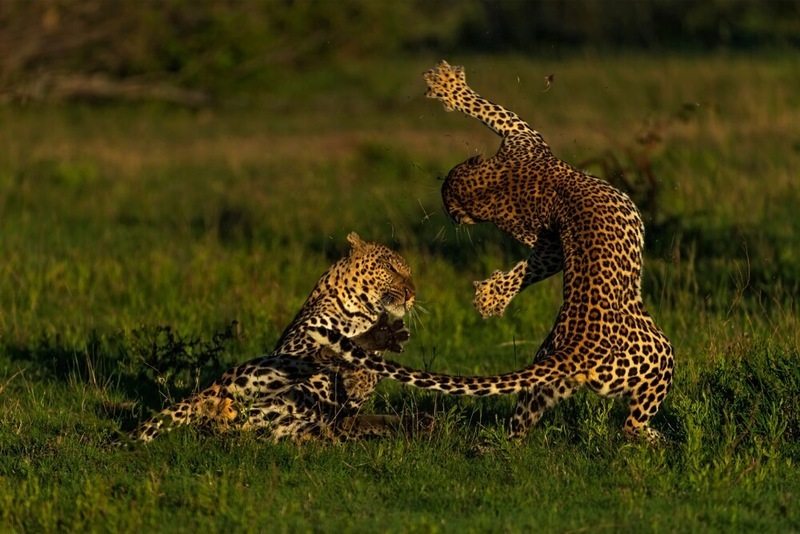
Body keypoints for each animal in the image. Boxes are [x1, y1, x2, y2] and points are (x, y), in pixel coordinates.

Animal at [130, 232, 418, 446]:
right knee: (315, 360)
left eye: (410, 274)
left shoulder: (350, 402)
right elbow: (330, 351)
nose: (411, 294)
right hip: (252, 380)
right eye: (390, 268)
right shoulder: (296, 346)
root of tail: (207, 394)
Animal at [310, 60, 672, 444]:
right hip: (660, 357)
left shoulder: (540, 219)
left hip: (544, 382)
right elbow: (490, 108)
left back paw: (503, 447)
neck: (498, 183)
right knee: (631, 424)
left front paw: (490, 297)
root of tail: (577, 350)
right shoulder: (525, 136)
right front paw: (450, 86)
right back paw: (655, 439)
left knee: (519, 423)